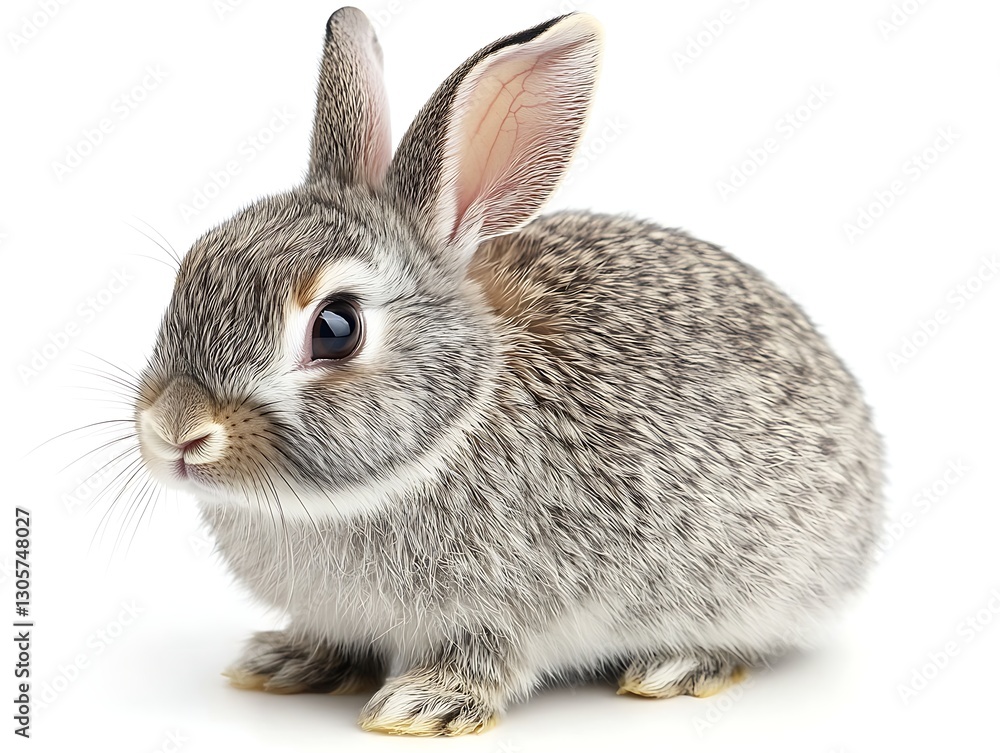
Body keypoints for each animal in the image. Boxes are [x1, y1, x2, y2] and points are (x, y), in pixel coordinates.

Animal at [134, 6, 883, 737]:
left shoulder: (511, 609)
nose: (177, 428)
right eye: (191, 268)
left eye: (336, 328)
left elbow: (488, 658)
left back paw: (677, 665)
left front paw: (423, 704)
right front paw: (287, 660)